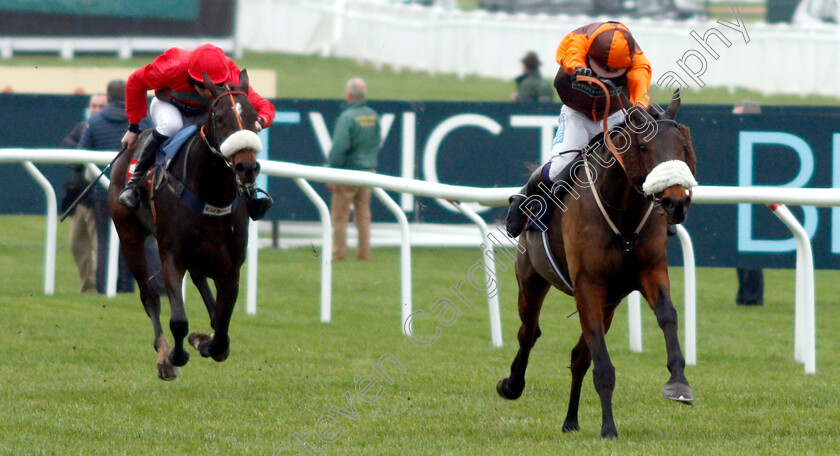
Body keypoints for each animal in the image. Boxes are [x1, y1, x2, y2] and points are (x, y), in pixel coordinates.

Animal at [110, 71, 262, 382]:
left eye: (254, 117)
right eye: (219, 118)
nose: (246, 168)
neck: (211, 195)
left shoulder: (231, 266)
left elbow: (223, 326)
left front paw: (206, 341)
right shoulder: (172, 255)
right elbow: (178, 320)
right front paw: (175, 356)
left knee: (200, 281)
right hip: (129, 236)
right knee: (149, 296)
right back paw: (163, 354)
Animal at [498, 93, 696, 438]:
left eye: (682, 146)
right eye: (643, 147)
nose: (676, 202)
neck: (622, 212)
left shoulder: (650, 270)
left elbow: (668, 315)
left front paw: (678, 383)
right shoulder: (588, 283)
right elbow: (601, 361)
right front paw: (608, 428)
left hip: (611, 302)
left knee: (579, 356)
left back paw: (570, 420)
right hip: (531, 278)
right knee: (529, 332)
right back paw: (512, 385)